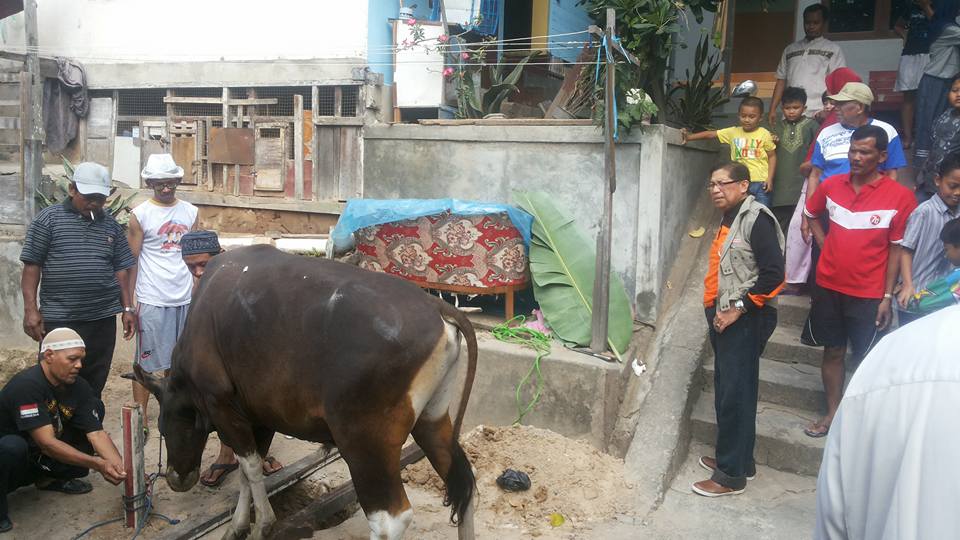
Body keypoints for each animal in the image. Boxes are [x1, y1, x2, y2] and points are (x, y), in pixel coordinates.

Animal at [133, 246, 478, 540]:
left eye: (164, 428)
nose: (177, 478)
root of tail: (437, 307)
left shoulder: (222, 407)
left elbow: (251, 467)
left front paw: (262, 525)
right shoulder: (259, 416)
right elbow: (248, 470)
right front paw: (239, 525)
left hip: (365, 443)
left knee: (390, 520)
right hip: (432, 421)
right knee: (464, 483)